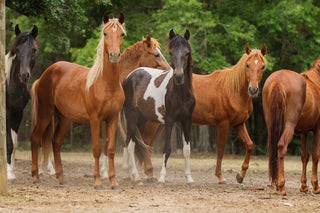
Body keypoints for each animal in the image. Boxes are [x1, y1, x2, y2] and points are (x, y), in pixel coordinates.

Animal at [30, 11, 125, 190]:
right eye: (105, 33)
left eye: (122, 34)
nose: (115, 56)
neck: (106, 84)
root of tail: (44, 75)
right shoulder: (94, 120)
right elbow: (97, 149)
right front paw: (97, 182)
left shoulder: (113, 119)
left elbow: (110, 149)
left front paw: (114, 182)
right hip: (45, 114)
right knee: (35, 138)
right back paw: (36, 177)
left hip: (65, 118)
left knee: (56, 142)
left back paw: (62, 178)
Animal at [120, 29, 195, 184]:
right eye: (171, 52)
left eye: (187, 52)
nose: (179, 77)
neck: (180, 92)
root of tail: (128, 77)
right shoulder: (169, 120)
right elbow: (167, 149)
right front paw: (162, 177)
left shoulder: (187, 120)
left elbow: (187, 149)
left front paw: (189, 178)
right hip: (131, 117)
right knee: (129, 144)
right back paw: (136, 177)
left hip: (141, 120)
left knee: (136, 143)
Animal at [131, 42, 266, 183]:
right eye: (247, 65)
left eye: (263, 66)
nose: (253, 89)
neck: (231, 90)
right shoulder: (223, 124)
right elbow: (220, 150)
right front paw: (220, 176)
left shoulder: (238, 124)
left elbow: (250, 145)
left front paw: (240, 175)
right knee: (143, 143)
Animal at [262, 55, 320, 196]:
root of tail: (278, 79)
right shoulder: (318, 129)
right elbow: (315, 156)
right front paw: (315, 186)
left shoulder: (304, 132)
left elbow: (305, 156)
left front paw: (304, 186)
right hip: (289, 126)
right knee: (282, 146)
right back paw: (282, 186)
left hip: (272, 126)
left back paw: (277, 185)